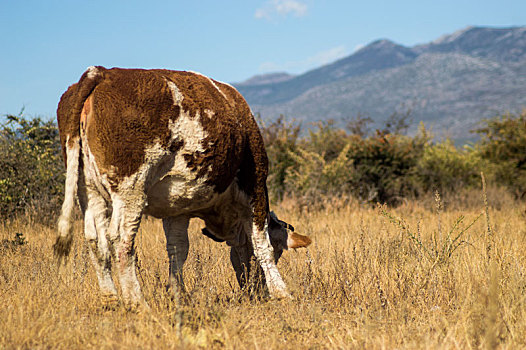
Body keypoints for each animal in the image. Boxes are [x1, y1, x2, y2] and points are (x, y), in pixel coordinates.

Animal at [52, 67, 314, 308]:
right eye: (280, 252)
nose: (256, 289)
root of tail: (103, 72)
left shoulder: (176, 208)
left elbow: (178, 249)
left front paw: (179, 294)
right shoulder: (256, 185)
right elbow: (262, 244)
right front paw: (282, 292)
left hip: (88, 189)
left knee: (94, 238)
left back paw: (111, 298)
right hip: (130, 189)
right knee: (120, 238)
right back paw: (137, 302)